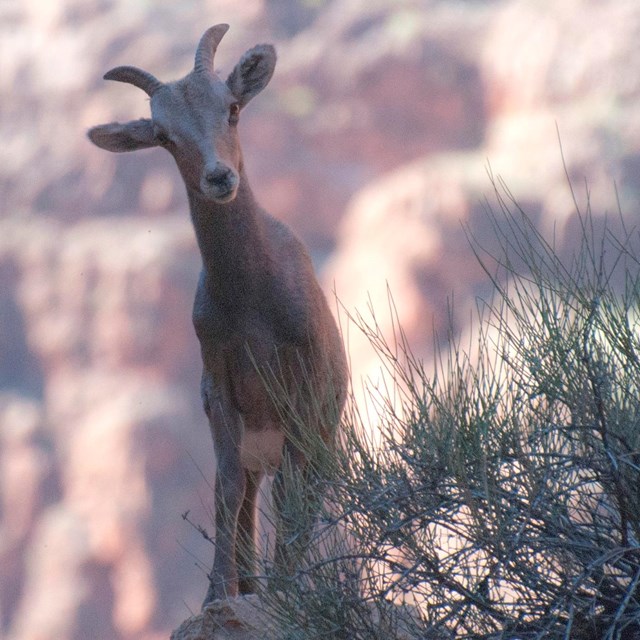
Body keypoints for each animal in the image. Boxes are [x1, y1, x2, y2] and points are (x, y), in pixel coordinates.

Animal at [87, 25, 348, 604]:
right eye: (164, 135)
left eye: (231, 108)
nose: (219, 177)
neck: (253, 303)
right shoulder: (224, 389)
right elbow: (226, 489)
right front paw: (218, 594)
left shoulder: (301, 393)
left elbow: (292, 497)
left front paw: (285, 591)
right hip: (258, 446)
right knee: (249, 497)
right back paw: (248, 583)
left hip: (320, 434)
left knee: (305, 494)